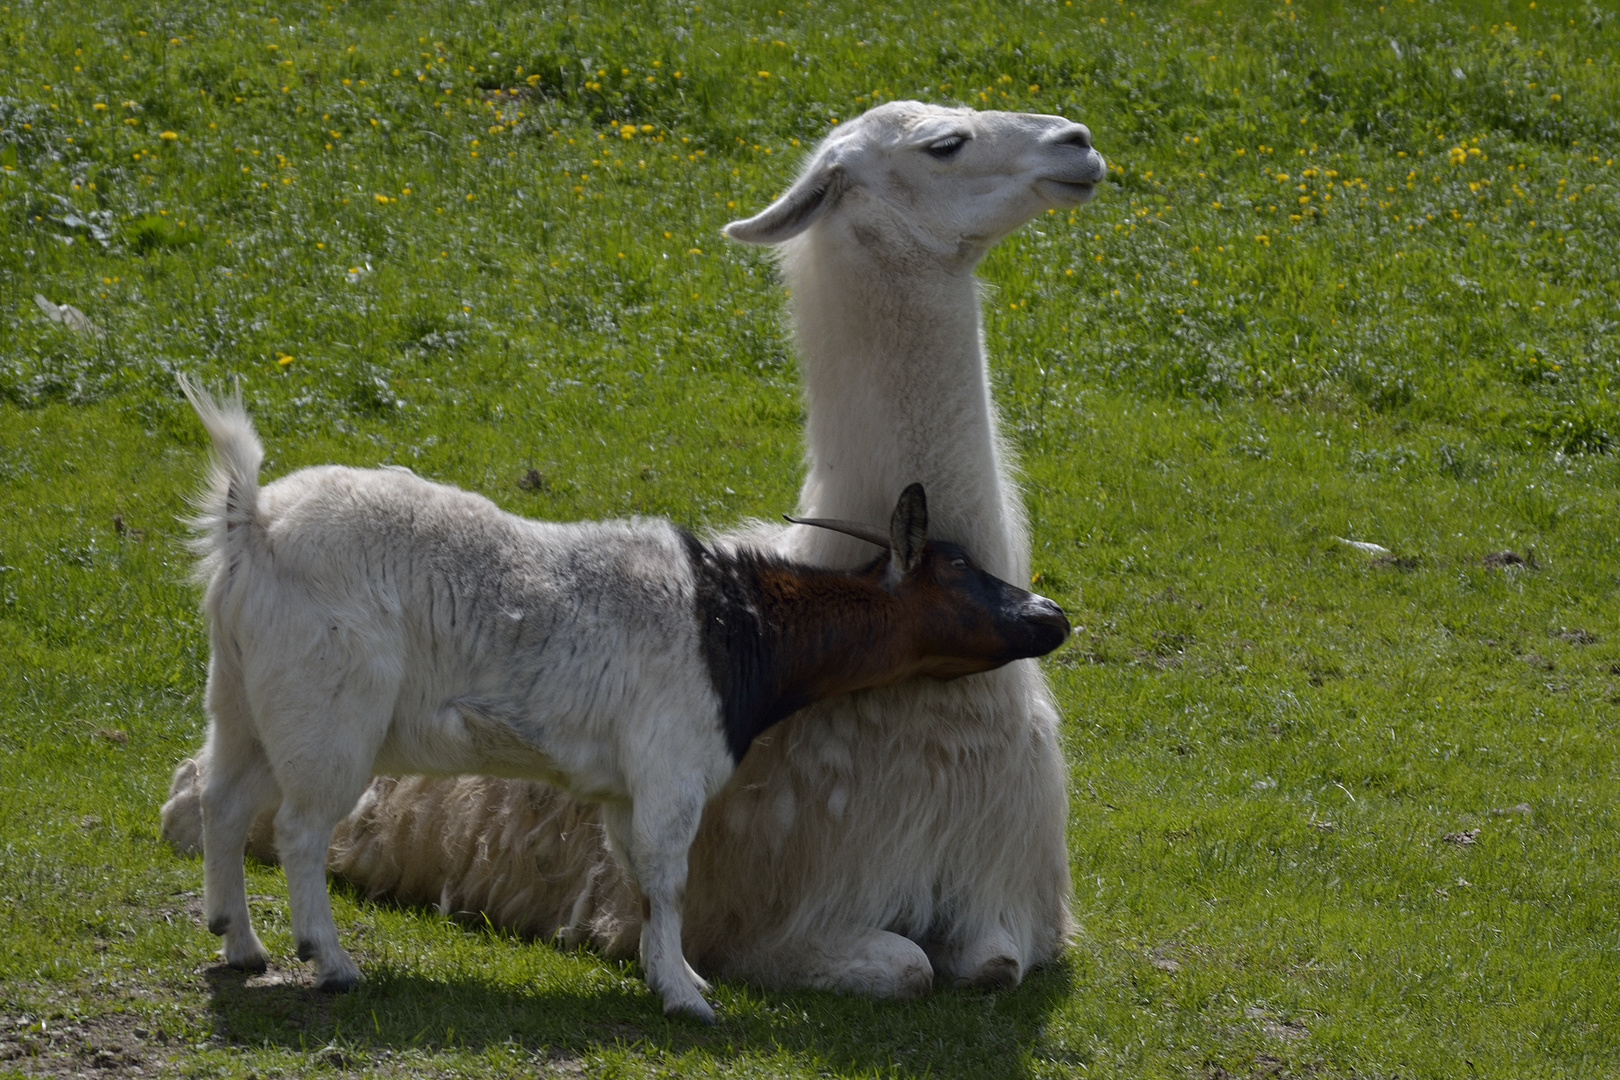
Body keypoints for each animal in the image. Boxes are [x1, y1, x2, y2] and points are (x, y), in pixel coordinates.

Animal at [177, 378, 1069, 1023]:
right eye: (960, 569)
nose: (1052, 616)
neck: (733, 625)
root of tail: (253, 523)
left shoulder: (619, 787)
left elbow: (638, 876)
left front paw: (668, 976)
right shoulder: (672, 768)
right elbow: (669, 880)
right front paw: (687, 997)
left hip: (242, 702)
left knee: (224, 802)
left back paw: (239, 944)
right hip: (328, 716)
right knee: (297, 829)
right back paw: (329, 962)